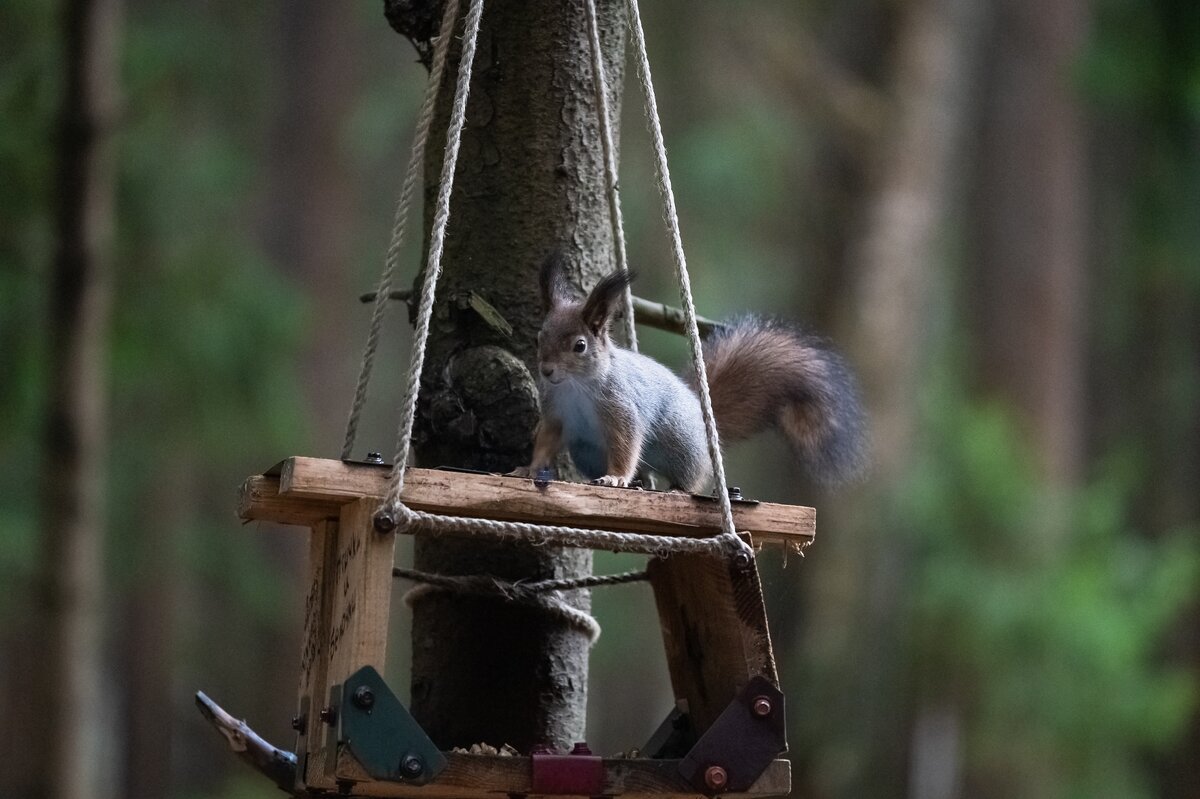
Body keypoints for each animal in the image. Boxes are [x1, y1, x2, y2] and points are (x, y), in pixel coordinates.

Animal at [516, 255, 864, 489]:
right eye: (539, 338)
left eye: (580, 346)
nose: (546, 371)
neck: (576, 386)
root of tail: (703, 416)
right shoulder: (557, 412)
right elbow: (546, 440)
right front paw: (529, 469)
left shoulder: (621, 406)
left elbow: (626, 444)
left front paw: (615, 477)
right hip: (587, 451)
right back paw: (640, 482)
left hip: (680, 444)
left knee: (692, 478)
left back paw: (675, 488)